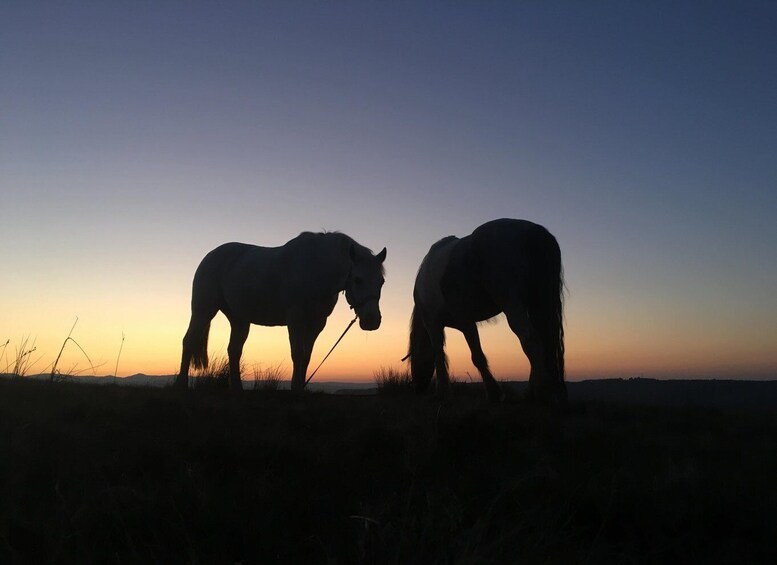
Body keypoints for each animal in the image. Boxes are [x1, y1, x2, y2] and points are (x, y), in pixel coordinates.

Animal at [174, 231, 384, 390]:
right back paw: (181, 385)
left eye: (381, 281)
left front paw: (300, 388)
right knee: (189, 341)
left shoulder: (316, 323)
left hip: (239, 319)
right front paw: (294, 389)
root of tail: (210, 256)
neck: (315, 268)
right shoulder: (295, 319)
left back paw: (238, 388)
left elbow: (306, 356)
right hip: (203, 310)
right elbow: (297, 354)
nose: (372, 320)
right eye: (357, 279)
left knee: (234, 350)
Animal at [406, 217, 564, 406]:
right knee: (543, 339)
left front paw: (445, 393)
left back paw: (542, 391)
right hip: (537, 304)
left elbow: (450, 355)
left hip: (512, 305)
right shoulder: (464, 322)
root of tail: (531, 231)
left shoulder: (440, 323)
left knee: (530, 339)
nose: (416, 388)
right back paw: (534, 393)